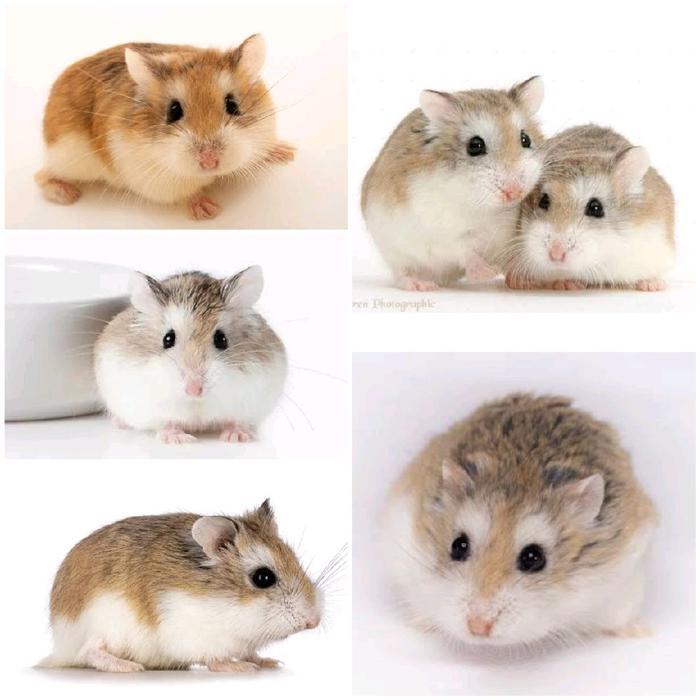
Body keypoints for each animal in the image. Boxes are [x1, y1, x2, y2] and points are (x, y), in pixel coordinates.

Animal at [35, 36, 295, 219]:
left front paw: (288, 153)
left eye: (233, 105)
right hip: (68, 155)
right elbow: (187, 193)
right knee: (42, 175)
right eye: (173, 111)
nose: (210, 162)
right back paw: (68, 195)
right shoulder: (158, 181)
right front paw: (209, 211)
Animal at [39, 502, 322, 672]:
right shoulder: (193, 635)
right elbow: (216, 658)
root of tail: (60, 646)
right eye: (263, 578)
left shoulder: (244, 641)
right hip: (104, 625)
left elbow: (250, 652)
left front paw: (270, 662)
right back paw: (130, 667)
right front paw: (239, 668)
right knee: (90, 652)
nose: (314, 622)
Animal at [94, 265, 287, 444]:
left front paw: (237, 437)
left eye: (222, 339)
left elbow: (235, 420)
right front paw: (178, 439)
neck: (196, 403)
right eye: (168, 339)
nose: (194, 390)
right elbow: (168, 422)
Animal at [361, 77, 545, 291]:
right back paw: (423, 285)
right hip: (395, 252)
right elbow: (465, 251)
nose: (515, 192)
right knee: (402, 273)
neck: (488, 209)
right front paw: (487, 272)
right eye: (475, 145)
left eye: (526, 139)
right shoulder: (444, 233)